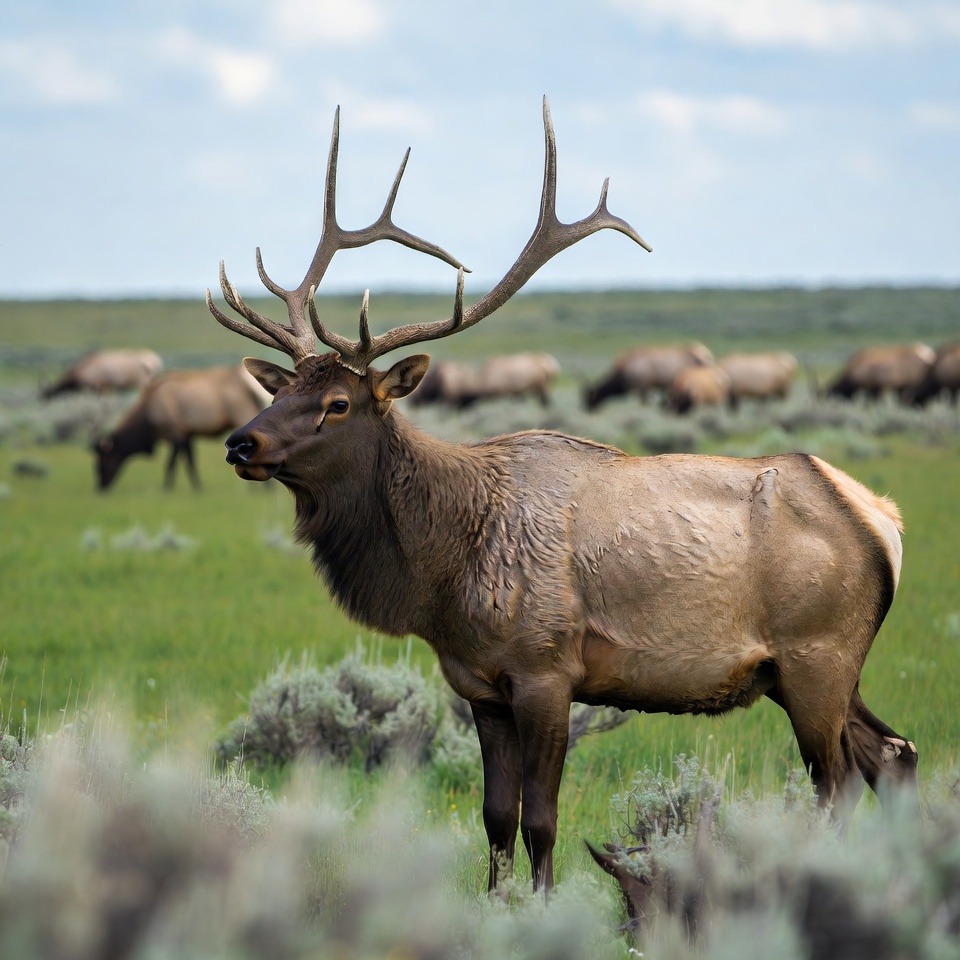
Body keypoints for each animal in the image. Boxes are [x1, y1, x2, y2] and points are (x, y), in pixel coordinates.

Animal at [92, 364, 270, 491]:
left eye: (102, 461)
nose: (100, 487)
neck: (148, 424)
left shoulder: (175, 431)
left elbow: (171, 464)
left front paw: (167, 488)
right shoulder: (186, 433)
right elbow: (191, 462)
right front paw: (198, 488)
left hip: (243, 416)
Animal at [206, 98, 918, 894]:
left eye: (337, 403)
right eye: (282, 390)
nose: (240, 443)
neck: (442, 577)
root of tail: (884, 519)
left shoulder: (548, 670)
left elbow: (542, 821)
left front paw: (545, 905)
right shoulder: (480, 686)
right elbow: (494, 819)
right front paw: (496, 904)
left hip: (817, 655)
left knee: (840, 782)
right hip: (807, 670)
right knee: (895, 753)